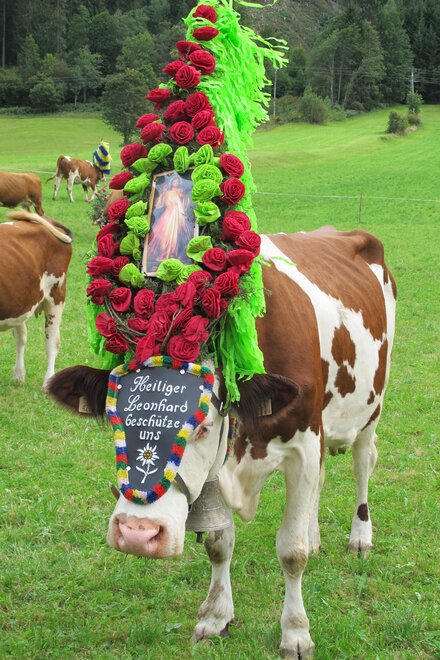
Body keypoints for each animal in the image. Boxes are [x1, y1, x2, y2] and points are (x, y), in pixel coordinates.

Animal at [0, 210, 73, 388]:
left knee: (51, 342)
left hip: (56, 295)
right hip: (19, 301)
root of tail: (48, 219)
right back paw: (18, 376)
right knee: (21, 337)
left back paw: (48, 381)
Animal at [47, 228, 396, 657]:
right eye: (117, 419)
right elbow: (218, 544)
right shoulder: (221, 468)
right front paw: (216, 616)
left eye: (204, 426)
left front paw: (296, 632)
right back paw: (316, 535)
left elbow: (291, 551)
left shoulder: (302, 446)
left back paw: (360, 537)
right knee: (322, 480)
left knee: (363, 464)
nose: (139, 534)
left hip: (372, 407)